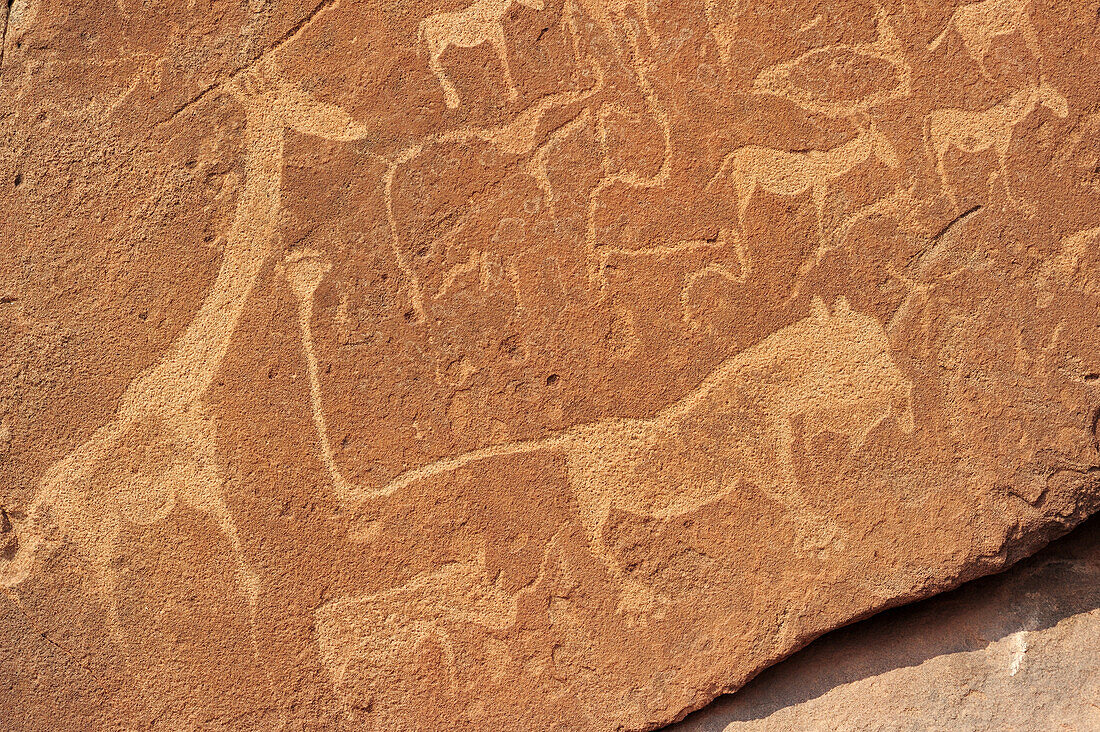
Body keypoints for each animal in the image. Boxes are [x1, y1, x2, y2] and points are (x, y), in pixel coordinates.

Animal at [415, 0, 545, 110]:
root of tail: (424, 23)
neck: (495, 9)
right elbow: (503, 57)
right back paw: (452, 99)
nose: (542, 5)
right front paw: (512, 93)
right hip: (438, 43)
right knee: (432, 63)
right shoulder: (494, 33)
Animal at [924, 80, 1069, 211]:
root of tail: (931, 114)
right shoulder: (1001, 144)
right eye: (1050, 94)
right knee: (941, 169)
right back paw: (953, 203)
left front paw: (990, 193)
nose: (1066, 111)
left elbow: (998, 170)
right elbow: (1004, 169)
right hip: (942, 145)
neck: (1009, 116)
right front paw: (1013, 201)